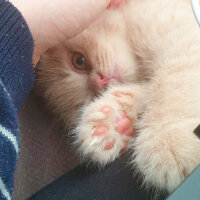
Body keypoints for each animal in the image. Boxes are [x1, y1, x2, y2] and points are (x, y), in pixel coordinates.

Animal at [36, 0, 200, 194]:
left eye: (79, 61)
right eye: (93, 96)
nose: (100, 82)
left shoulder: (182, 35)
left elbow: (174, 77)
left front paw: (168, 138)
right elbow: (151, 88)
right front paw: (113, 120)